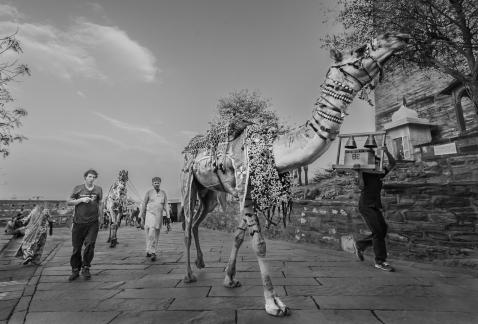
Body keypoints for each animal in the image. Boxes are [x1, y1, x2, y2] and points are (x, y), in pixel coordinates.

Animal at [181, 31, 408, 316]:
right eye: (358, 50)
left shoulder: (247, 193)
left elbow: (239, 236)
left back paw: (201, 264)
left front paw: (230, 279)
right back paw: (189, 274)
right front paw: (274, 303)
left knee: (197, 222)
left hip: (210, 194)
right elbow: (259, 244)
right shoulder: (246, 188)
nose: (398, 37)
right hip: (188, 183)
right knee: (187, 223)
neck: (273, 149)